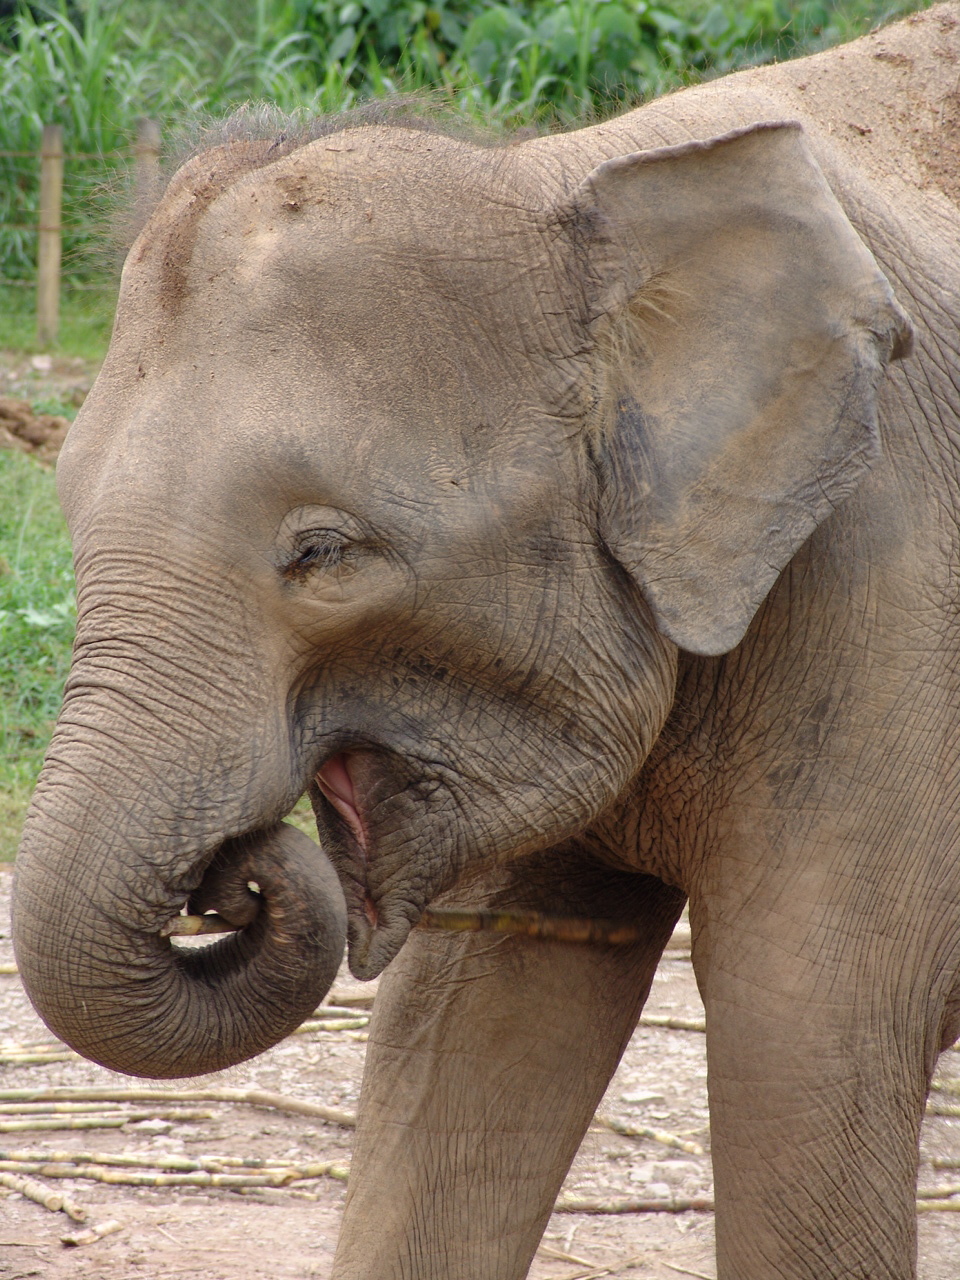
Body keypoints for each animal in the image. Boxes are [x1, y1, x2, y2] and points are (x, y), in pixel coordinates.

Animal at [11, 3, 960, 1277]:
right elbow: (465, 1023)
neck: (571, 177)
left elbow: (808, 1045)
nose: (230, 877)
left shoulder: (893, 590)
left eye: (322, 552)